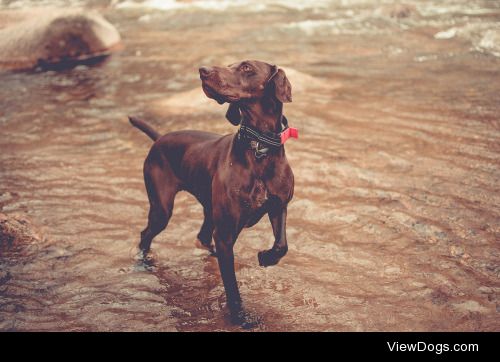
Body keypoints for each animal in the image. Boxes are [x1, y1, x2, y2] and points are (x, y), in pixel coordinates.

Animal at [131, 60, 296, 328]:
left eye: (246, 67)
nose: (203, 71)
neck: (259, 148)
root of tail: (160, 138)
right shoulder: (227, 233)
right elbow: (231, 287)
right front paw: (240, 317)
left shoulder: (279, 206)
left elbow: (282, 245)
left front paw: (266, 257)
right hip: (162, 208)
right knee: (146, 234)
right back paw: (143, 263)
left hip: (209, 211)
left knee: (203, 236)